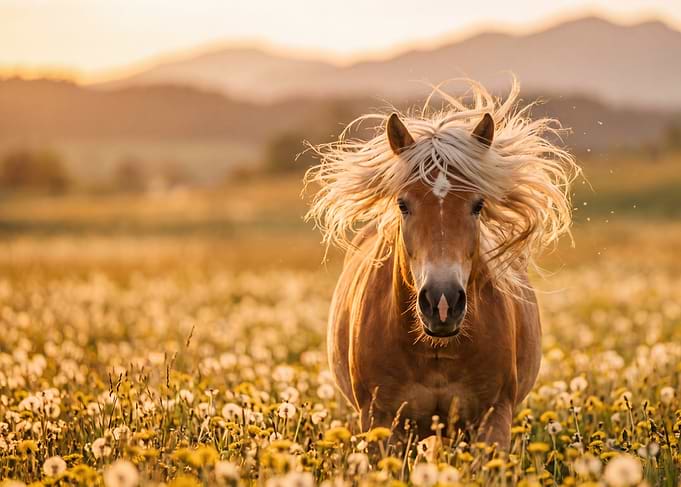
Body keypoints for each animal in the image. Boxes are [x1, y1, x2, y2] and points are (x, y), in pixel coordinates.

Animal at [305, 79, 579, 447]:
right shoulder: (381, 421)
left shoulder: (493, 418)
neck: (435, 350)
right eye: (403, 205)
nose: (442, 302)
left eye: (478, 205)